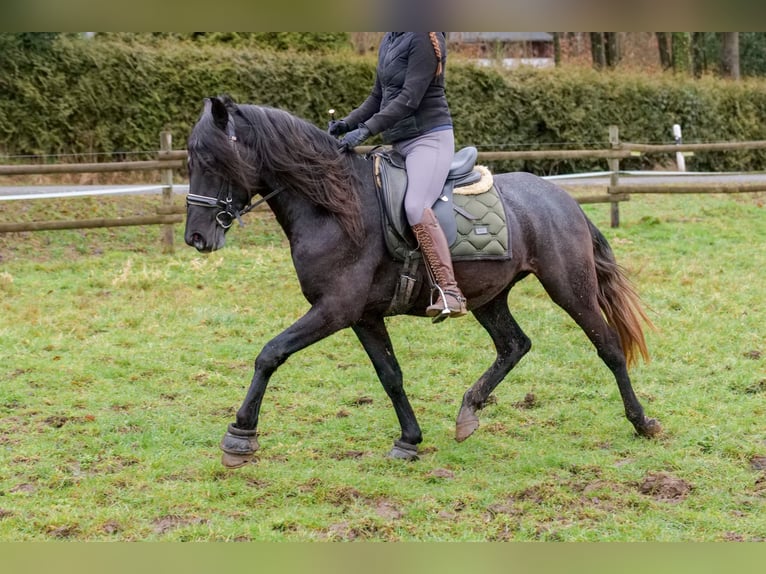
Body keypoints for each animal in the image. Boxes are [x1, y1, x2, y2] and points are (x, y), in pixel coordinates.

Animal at [184, 97, 660, 470]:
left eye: (210, 160)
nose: (196, 238)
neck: (336, 207)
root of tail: (564, 200)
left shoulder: (334, 309)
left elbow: (270, 354)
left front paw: (240, 436)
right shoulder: (362, 315)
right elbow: (390, 374)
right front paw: (408, 440)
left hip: (570, 288)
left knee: (608, 346)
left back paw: (642, 421)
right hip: (488, 297)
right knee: (514, 345)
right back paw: (469, 411)